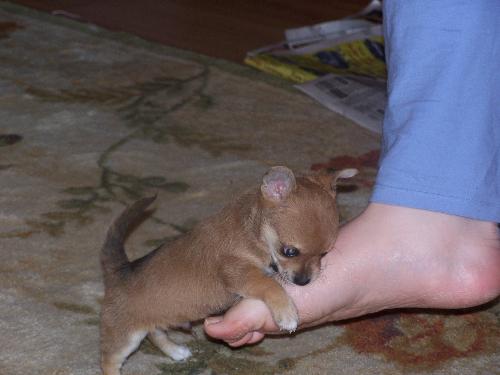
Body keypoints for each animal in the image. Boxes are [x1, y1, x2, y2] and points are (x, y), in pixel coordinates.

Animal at [98, 167, 356, 375]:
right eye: (290, 251)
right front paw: (287, 313)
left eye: (324, 253)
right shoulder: (238, 273)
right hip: (125, 337)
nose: (304, 281)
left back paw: (176, 351)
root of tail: (119, 270)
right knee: (108, 360)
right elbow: (269, 284)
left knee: (155, 332)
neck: (252, 231)